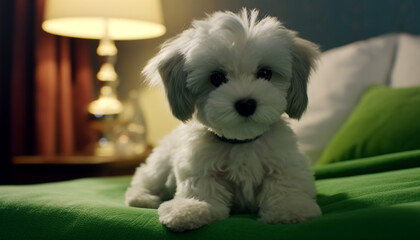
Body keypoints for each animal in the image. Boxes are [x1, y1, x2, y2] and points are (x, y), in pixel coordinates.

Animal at [125, 8, 322, 232]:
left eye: (265, 73)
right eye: (216, 78)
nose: (246, 104)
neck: (241, 142)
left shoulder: (285, 162)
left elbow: (286, 184)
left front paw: (290, 209)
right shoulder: (199, 168)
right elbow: (201, 190)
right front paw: (190, 209)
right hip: (160, 164)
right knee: (143, 179)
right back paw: (143, 198)